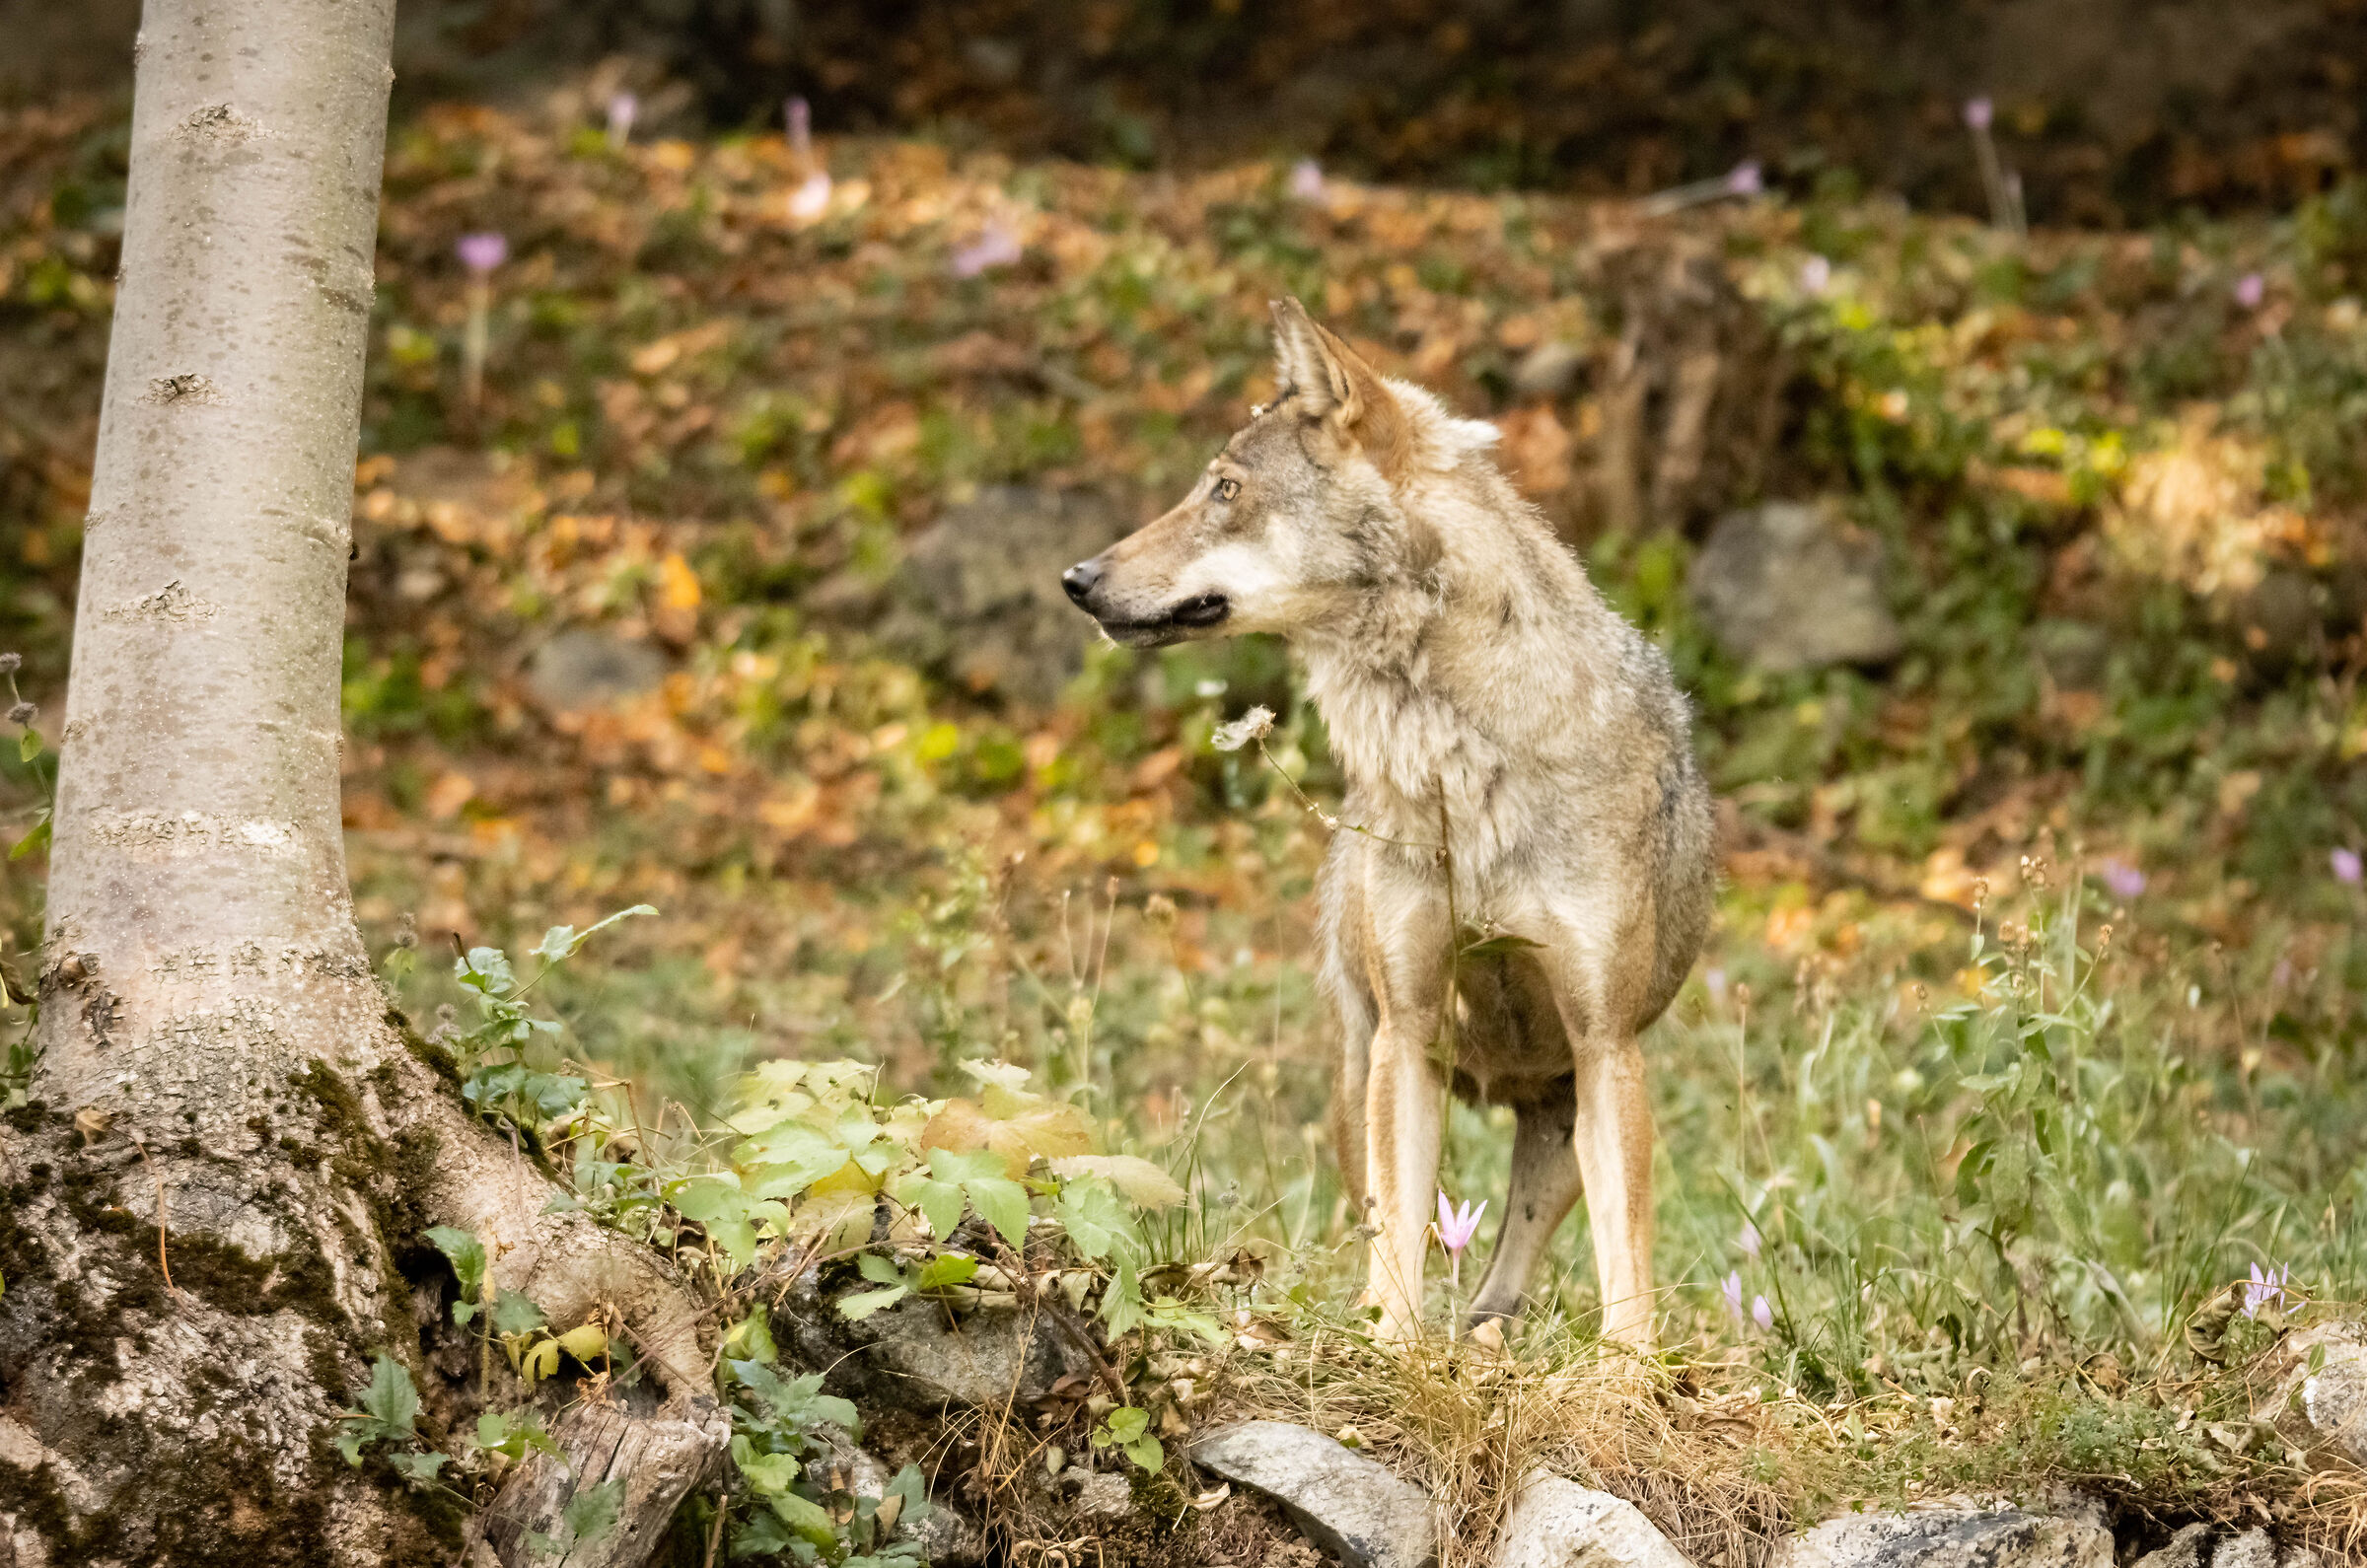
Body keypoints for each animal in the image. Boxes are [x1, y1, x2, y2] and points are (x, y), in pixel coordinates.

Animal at [1061, 299, 1716, 1348]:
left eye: (1225, 490)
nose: (1077, 578)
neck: (1463, 763)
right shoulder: (1404, 1031)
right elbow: (1398, 1239)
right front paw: (1392, 1350)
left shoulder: (1605, 1043)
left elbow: (1628, 1261)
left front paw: (1628, 1368)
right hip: (1358, 1072)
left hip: (1565, 1114)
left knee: (1512, 1254)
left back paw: (1488, 1336)